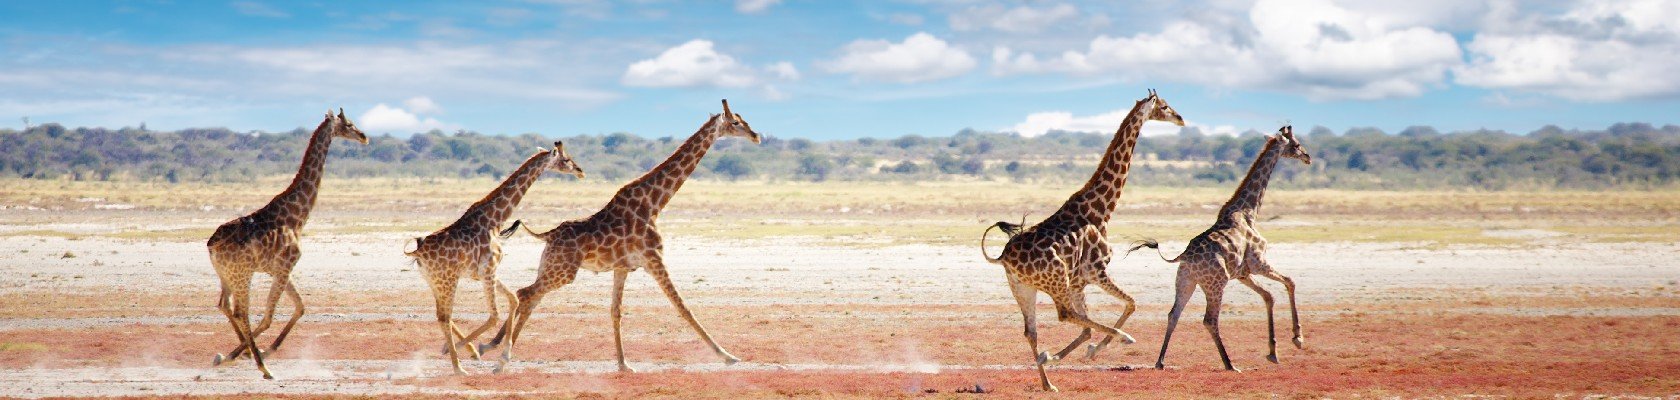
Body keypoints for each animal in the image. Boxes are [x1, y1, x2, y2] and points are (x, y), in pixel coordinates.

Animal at [206, 108, 367, 378]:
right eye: (349, 123)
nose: (364, 137)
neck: (296, 217)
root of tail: (211, 244)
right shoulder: (285, 267)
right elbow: (269, 317)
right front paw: (254, 356)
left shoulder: (279, 270)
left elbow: (300, 307)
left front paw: (258, 351)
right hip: (242, 274)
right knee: (241, 311)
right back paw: (262, 366)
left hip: (226, 275)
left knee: (224, 305)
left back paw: (243, 354)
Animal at [404, 140, 584, 374]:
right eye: (566, 159)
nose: (580, 171)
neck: (494, 221)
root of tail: (418, 252)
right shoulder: (488, 270)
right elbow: (494, 315)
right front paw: (477, 350)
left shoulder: (488, 273)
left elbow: (514, 299)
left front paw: (501, 356)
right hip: (447, 280)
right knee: (445, 317)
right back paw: (458, 367)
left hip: (434, 281)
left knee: (441, 315)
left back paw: (461, 354)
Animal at [483, 99, 766, 371]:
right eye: (735, 122)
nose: (756, 136)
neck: (654, 204)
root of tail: (547, 235)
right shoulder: (654, 258)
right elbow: (682, 306)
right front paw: (727, 356)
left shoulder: (622, 268)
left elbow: (615, 311)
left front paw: (623, 364)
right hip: (563, 272)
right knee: (526, 294)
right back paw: (498, 353)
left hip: (551, 267)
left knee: (530, 297)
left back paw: (496, 348)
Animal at [981, 89, 1189, 389]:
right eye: (1164, 106)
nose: (1181, 118)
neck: (1101, 211)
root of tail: (1003, 257)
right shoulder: (1096, 271)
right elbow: (1130, 303)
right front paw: (1095, 349)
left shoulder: (1080, 281)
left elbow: (1091, 325)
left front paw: (1062, 355)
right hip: (1056, 279)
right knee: (1065, 314)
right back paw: (1121, 339)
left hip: (1024, 288)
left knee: (1032, 331)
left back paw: (1048, 382)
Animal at [1128, 124, 1310, 371]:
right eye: (1296, 144)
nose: (1308, 157)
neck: (1248, 211)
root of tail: (1183, 256)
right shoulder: (1259, 263)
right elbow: (1290, 282)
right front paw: (1297, 338)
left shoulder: (1243, 274)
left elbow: (1269, 296)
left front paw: (1273, 352)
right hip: (1216, 283)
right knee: (1209, 320)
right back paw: (1230, 364)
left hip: (1186, 281)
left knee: (1173, 314)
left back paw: (1160, 361)